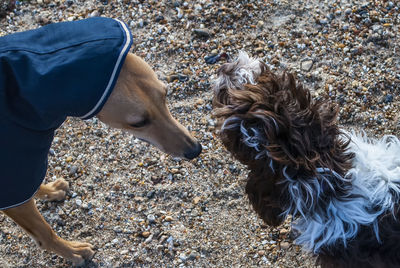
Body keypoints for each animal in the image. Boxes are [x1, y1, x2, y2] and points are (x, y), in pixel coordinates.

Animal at [1, 51, 202, 264]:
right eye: (138, 123)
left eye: (165, 94)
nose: (195, 150)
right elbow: (43, 232)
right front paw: (72, 251)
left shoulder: (17, 168)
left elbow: (29, 186)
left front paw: (50, 191)